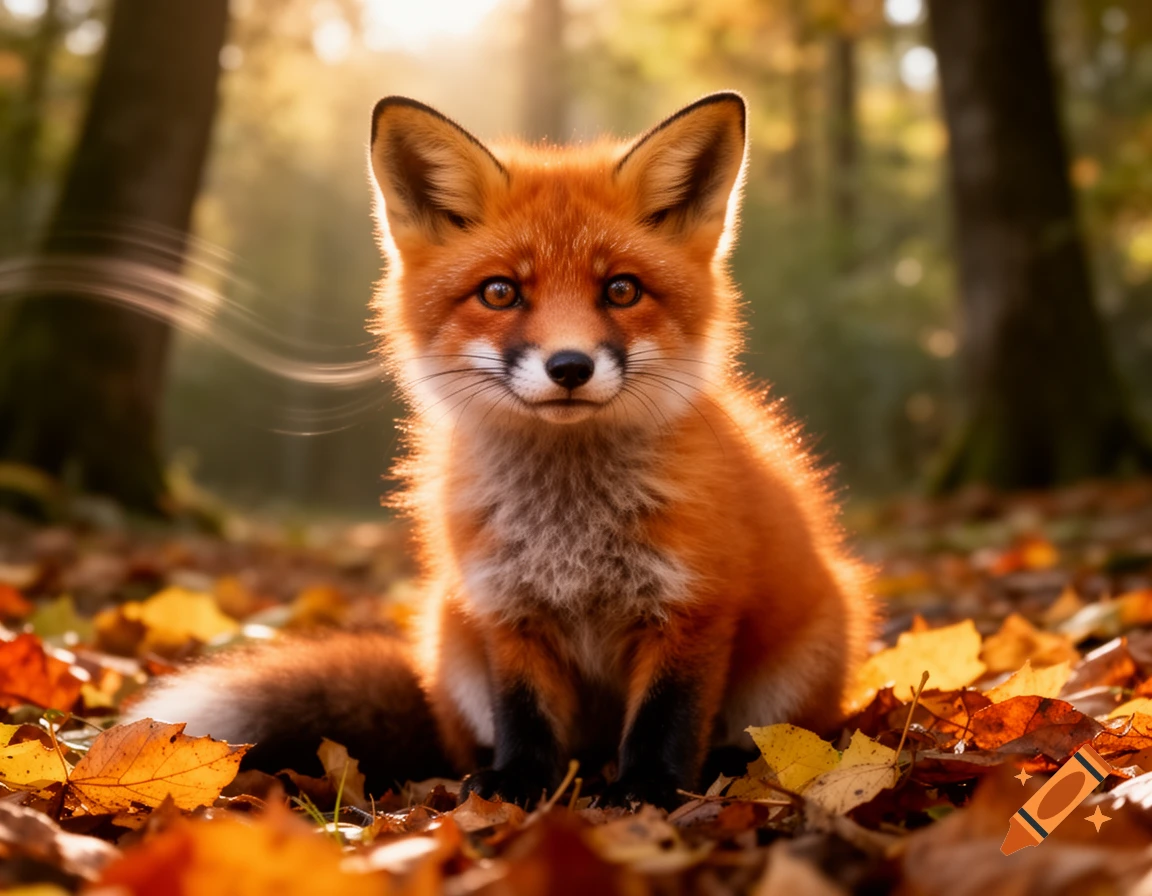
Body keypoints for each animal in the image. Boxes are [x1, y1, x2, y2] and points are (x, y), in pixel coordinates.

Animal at [127, 92, 875, 808]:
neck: (570, 525)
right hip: (446, 631)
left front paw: (646, 790)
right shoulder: (507, 608)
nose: (570, 366)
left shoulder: (692, 608)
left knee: (757, 738)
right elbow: (525, 715)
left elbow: (666, 719)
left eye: (621, 289)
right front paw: (517, 786)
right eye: (500, 292)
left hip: (800, 663)